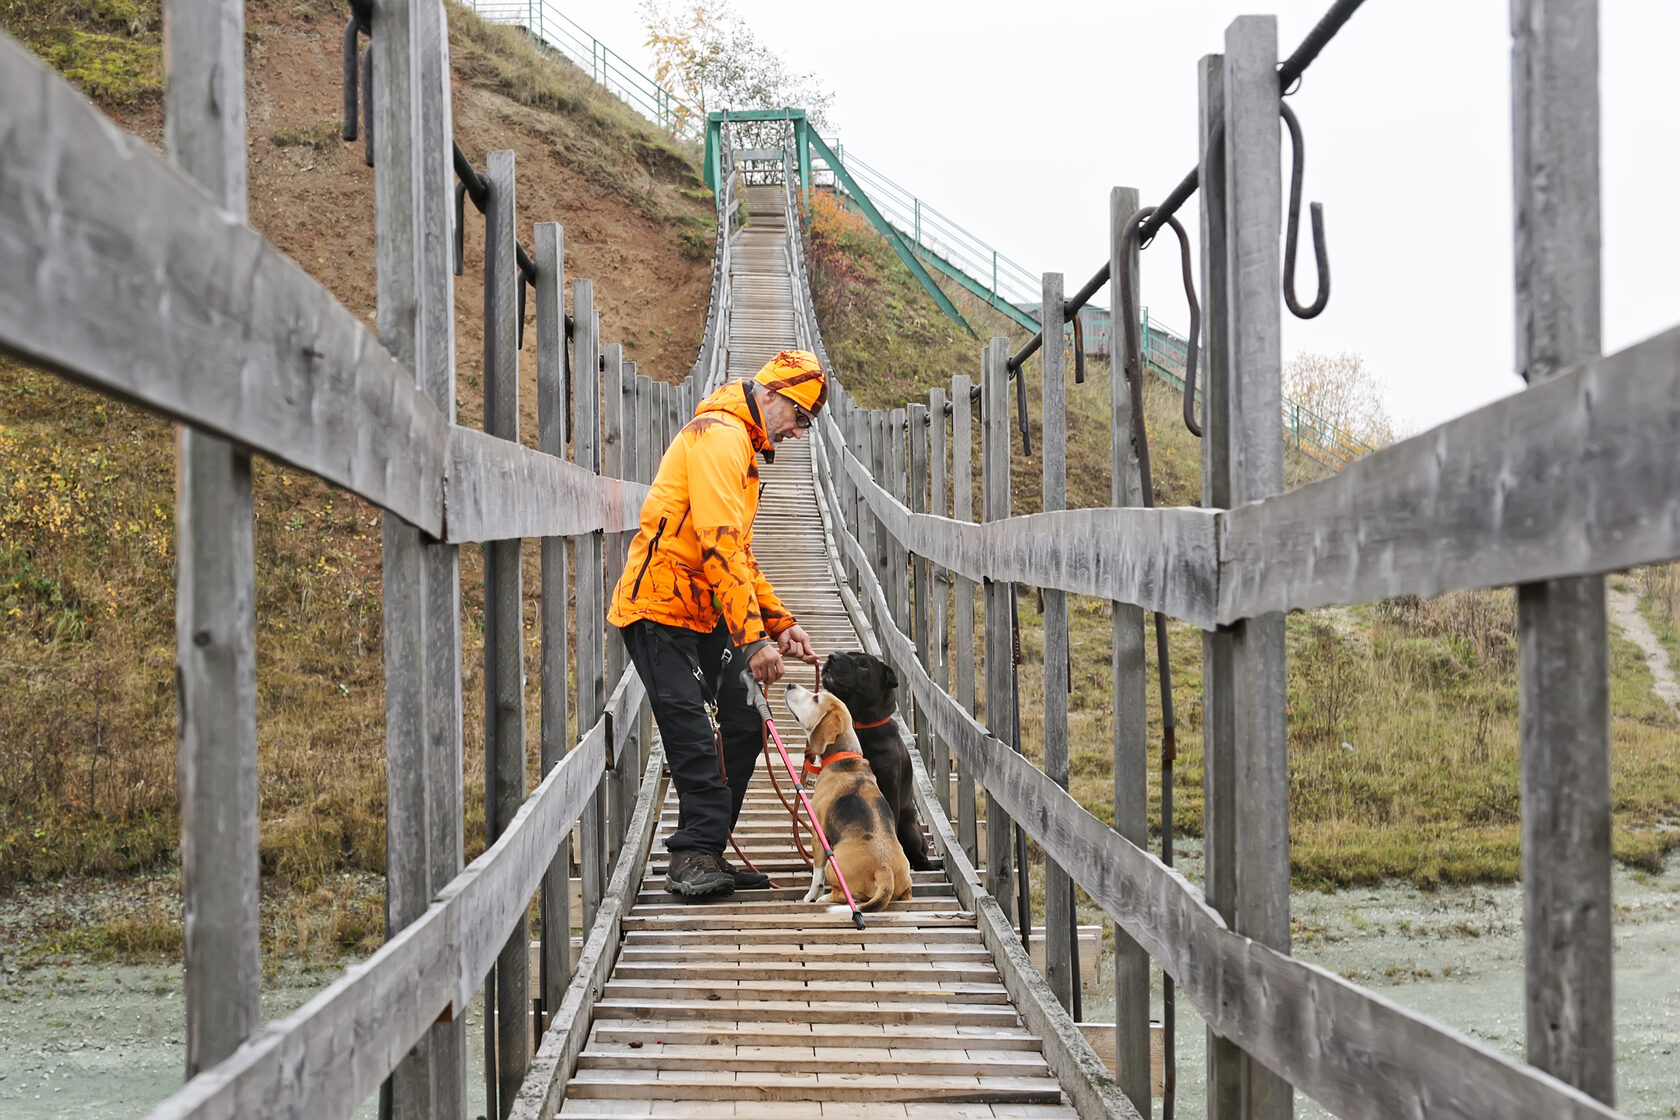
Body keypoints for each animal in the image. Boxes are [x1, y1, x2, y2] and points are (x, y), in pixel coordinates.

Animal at [782, 685, 913, 913]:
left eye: (816, 698)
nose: (790, 685)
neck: (845, 757)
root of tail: (885, 870)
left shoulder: (818, 834)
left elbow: (816, 875)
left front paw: (810, 896)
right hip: (906, 885)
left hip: (833, 862)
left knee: (842, 893)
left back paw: (825, 899)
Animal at [816, 648, 934, 873]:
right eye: (847, 654)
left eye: (864, 665)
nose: (832, 656)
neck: (858, 725)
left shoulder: (888, 785)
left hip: (909, 826)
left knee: (918, 852)